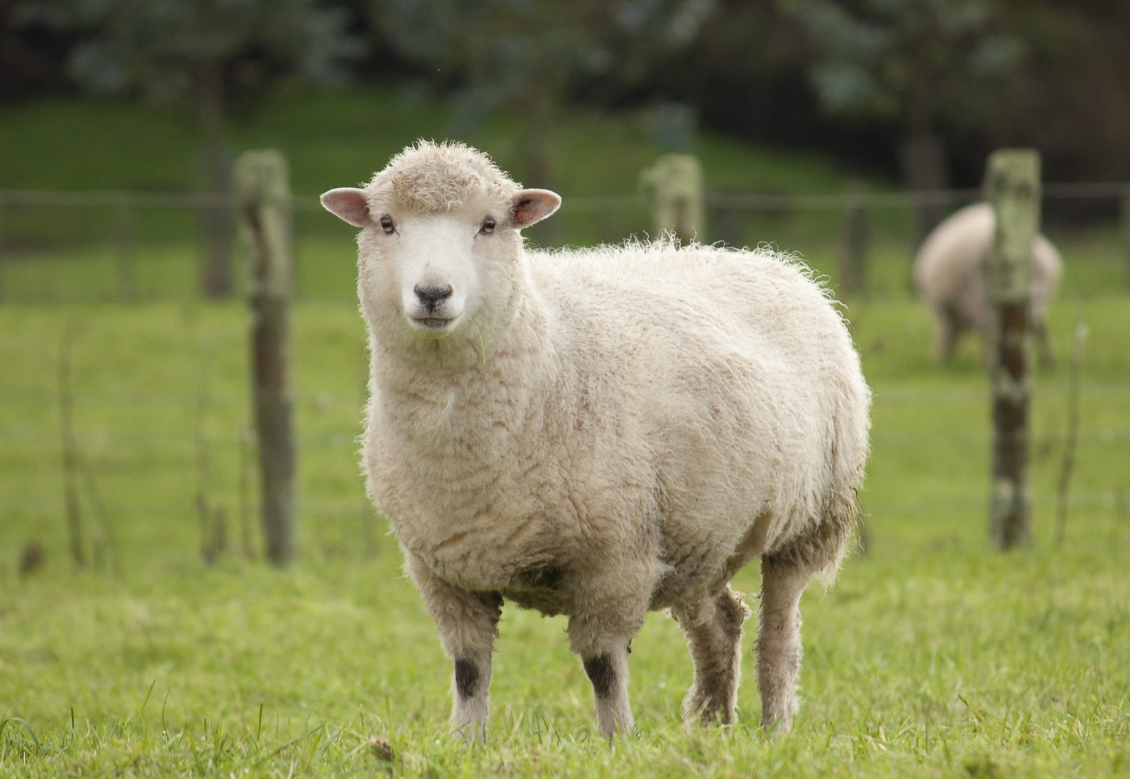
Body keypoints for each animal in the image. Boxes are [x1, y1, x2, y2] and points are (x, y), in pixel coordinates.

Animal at [320, 141, 872, 741]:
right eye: (386, 223)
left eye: (489, 224)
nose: (432, 293)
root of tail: (772, 262)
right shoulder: (444, 570)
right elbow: (469, 669)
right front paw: (466, 743)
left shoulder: (616, 560)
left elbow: (603, 667)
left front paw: (617, 742)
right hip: (699, 535)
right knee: (722, 623)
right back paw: (710, 729)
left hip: (810, 520)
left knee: (779, 638)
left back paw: (773, 730)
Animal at [913, 204, 1062, 366]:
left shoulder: (946, 307)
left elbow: (945, 331)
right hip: (1031, 300)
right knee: (1031, 328)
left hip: (980, 296)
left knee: (994, 330)